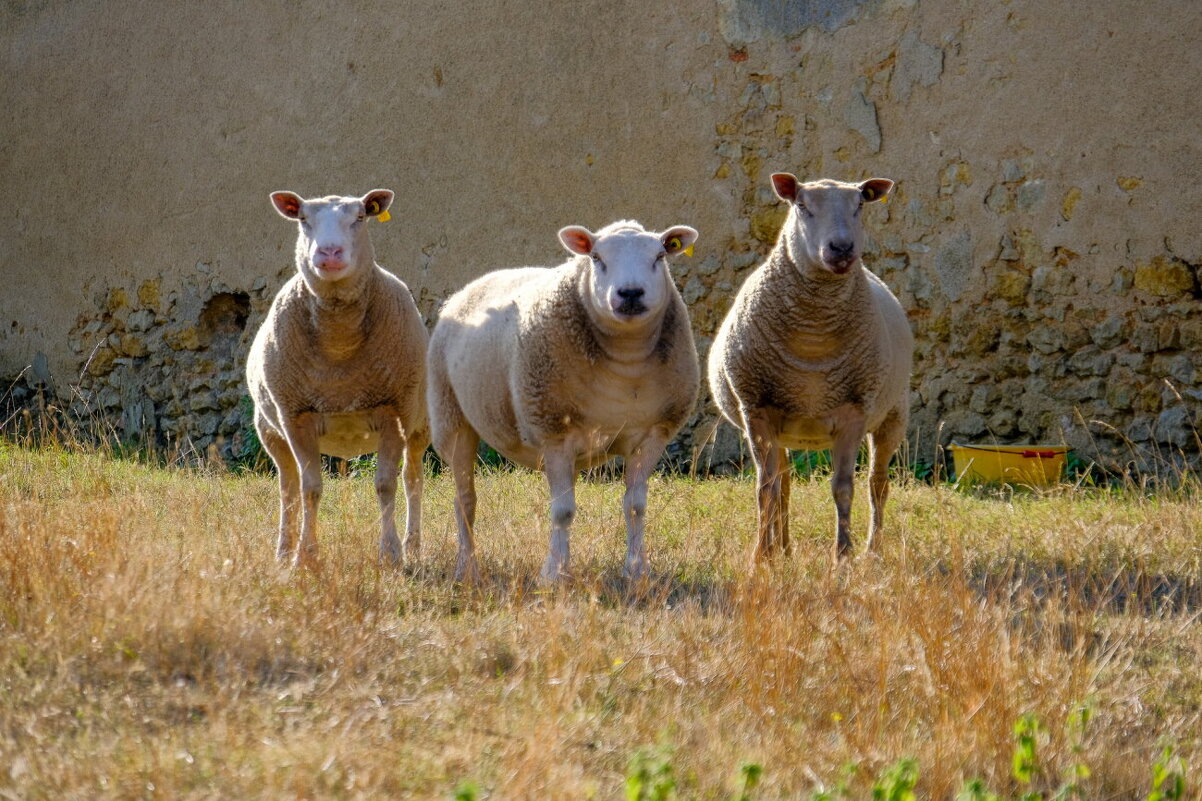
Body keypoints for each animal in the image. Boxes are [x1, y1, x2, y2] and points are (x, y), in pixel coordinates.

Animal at [246, 187, 430, 567]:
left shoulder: (395, 411)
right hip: (269, 430)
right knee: (287, 487)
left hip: (420, 423)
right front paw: (305, 557)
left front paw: (391, 554)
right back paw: (282, 551)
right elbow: (310, 489)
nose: (329, 253)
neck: (339, 346)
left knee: (413, 479)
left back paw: (414, 546)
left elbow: (386, 484)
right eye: (303, 219)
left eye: (360, 217)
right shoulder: (295, 416)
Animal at [427, 218, 701, 579]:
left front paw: (637, 570)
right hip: (451, 416)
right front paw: (554, 573)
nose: (630, 293)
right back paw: (466, 565)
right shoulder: (553, 429)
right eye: (597, 257)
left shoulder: (652, 434)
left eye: (659, 256)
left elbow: (635, 507)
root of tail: (472, 286)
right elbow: (562, 511)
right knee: (464, 500)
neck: (626, 360)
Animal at [701, 173, 908, 560]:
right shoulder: (756, 409)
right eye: (801, 205)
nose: (841, 248)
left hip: (893, 413)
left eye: (860, 204)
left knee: (878, 484)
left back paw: (872, 550)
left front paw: (843, 556)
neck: (813, 341)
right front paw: (760, 558)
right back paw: (782, 550)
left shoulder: (854, 410)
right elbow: (765, 489)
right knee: (782, 484)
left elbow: (843, 488)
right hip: (777, 427)